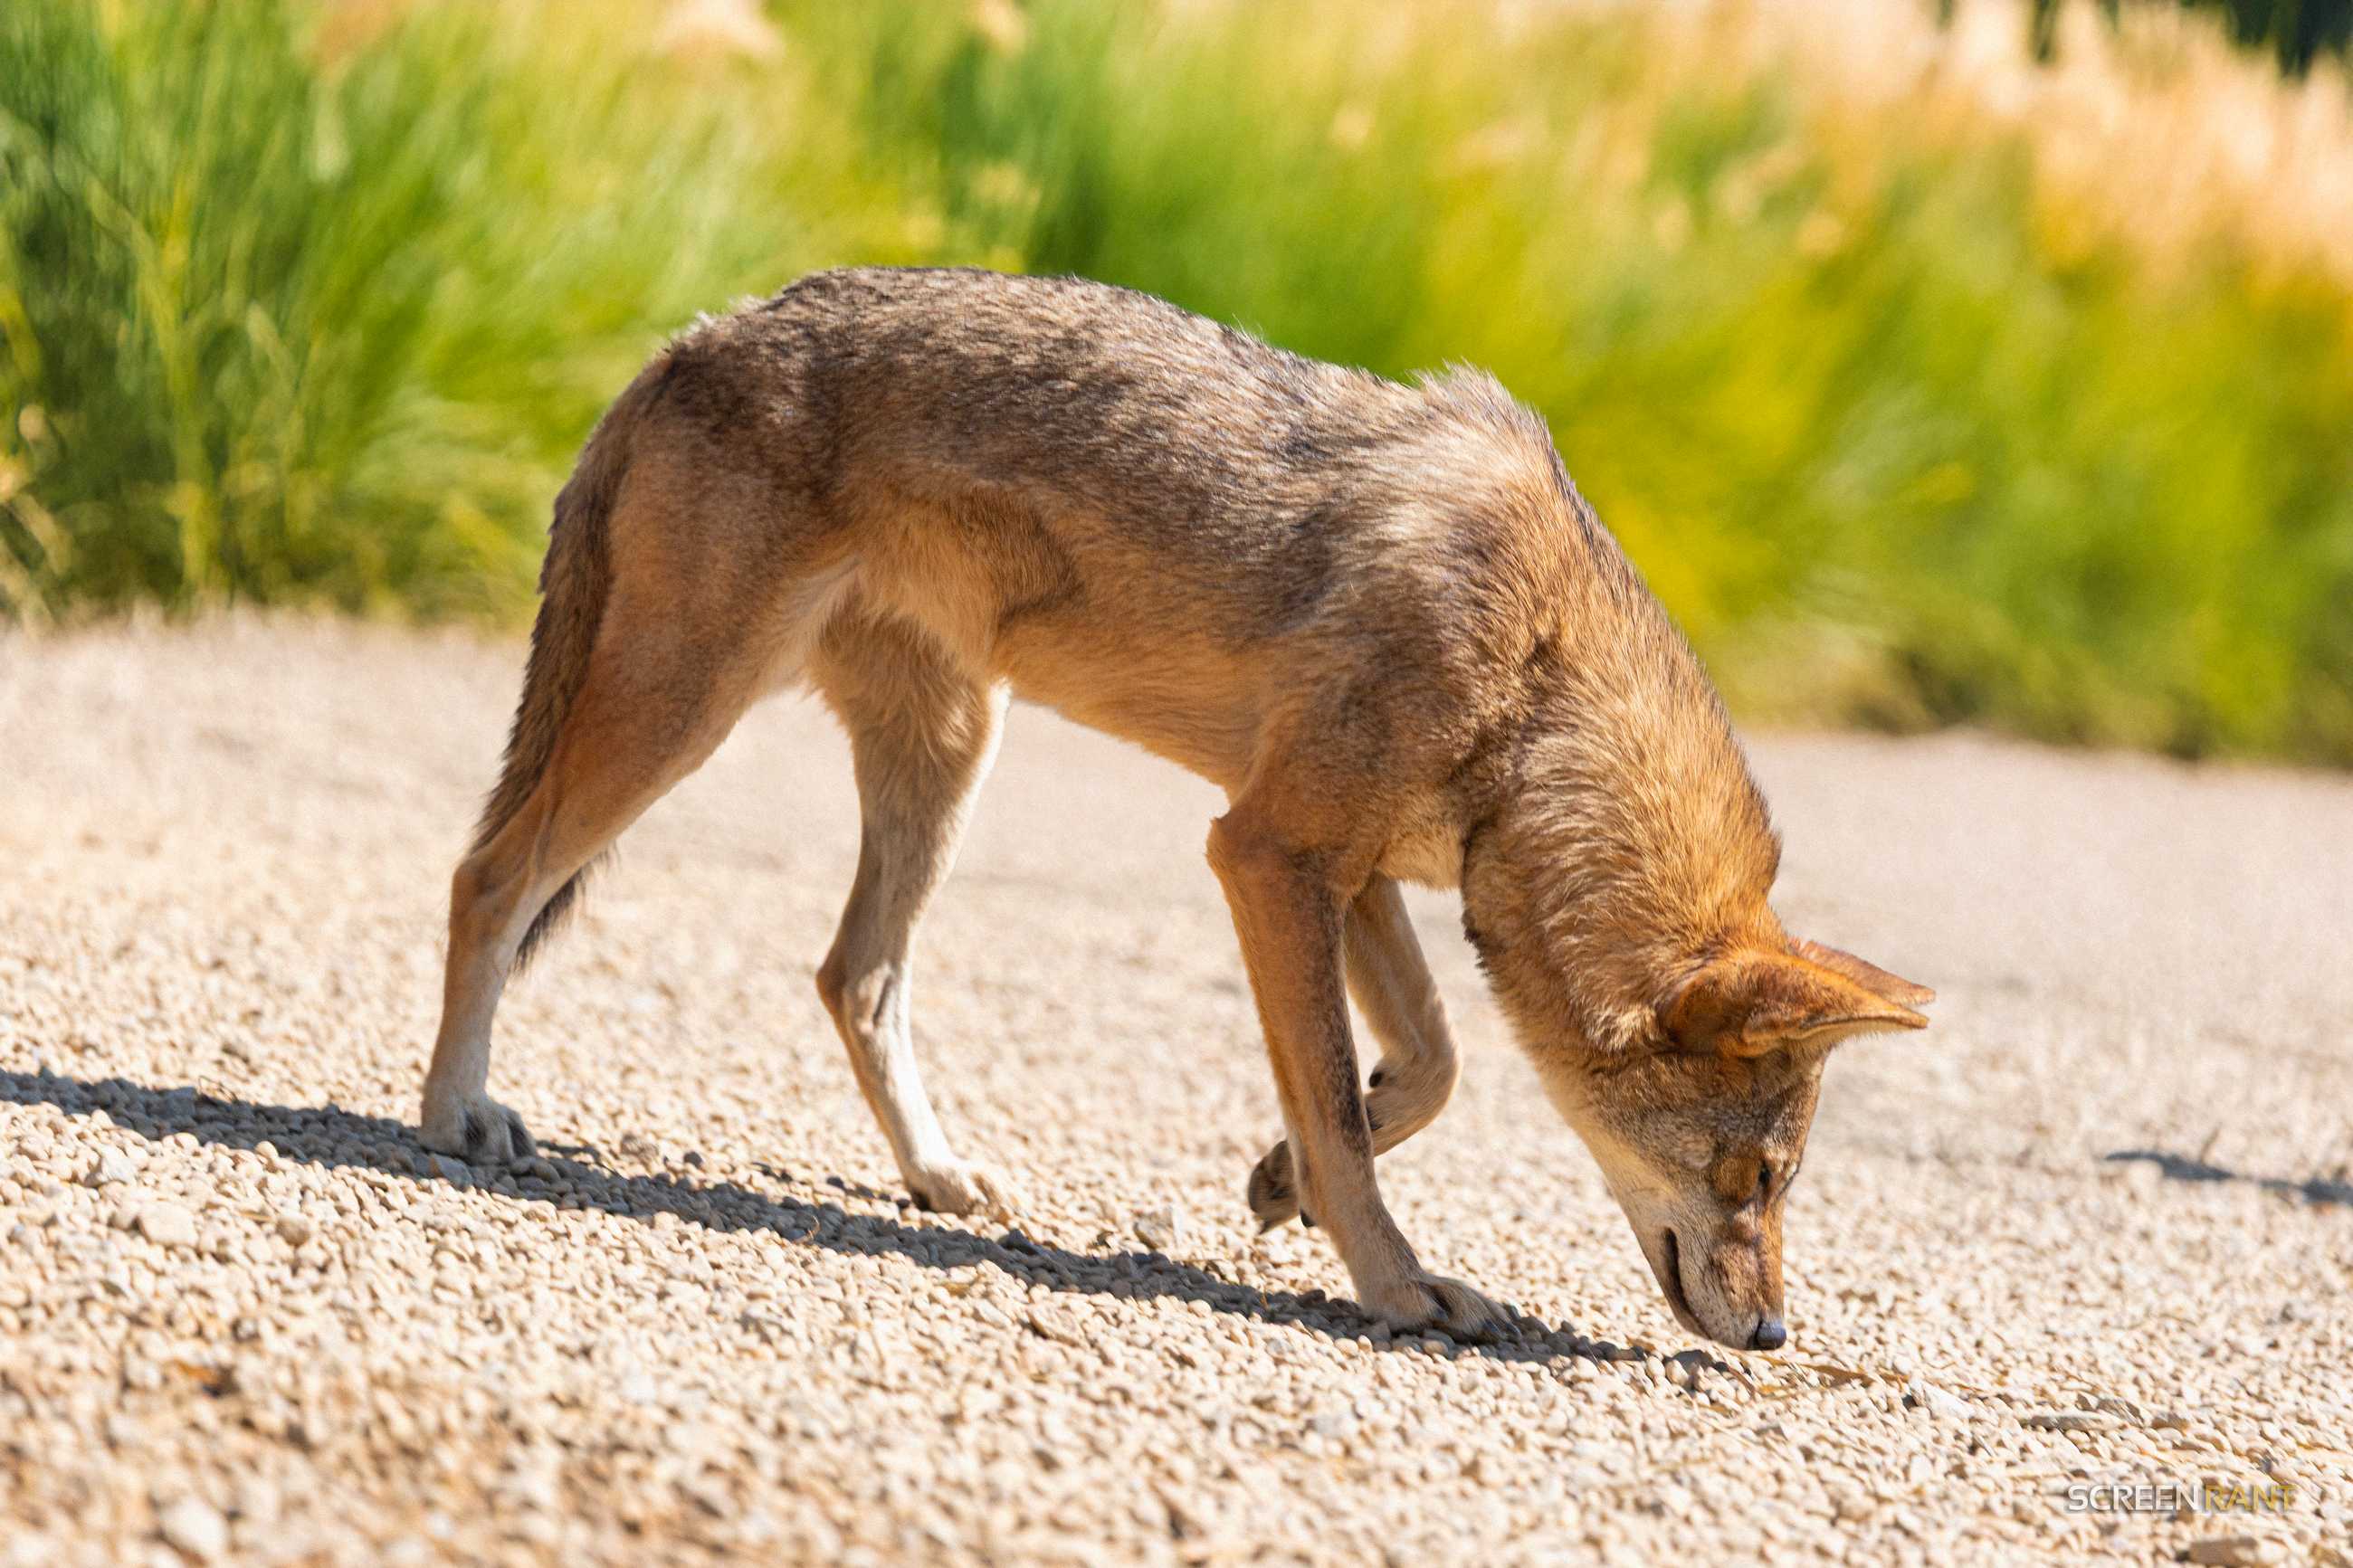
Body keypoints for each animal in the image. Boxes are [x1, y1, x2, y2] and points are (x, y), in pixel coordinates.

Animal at [418, 267, 1931, 1349]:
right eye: (1756, 1181)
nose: (1776, 1337)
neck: (1543, 684)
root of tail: (692, 336)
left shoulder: (1351, 869)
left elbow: (1424, 1066)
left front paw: (1283, 1181)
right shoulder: (1267, 851)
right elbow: (1344, 1099)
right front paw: (1398, 1287)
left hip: (946, 762)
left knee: (856, 976)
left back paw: (941, 1176)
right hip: (685, 714)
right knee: (488, 875)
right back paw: (455, 1116)